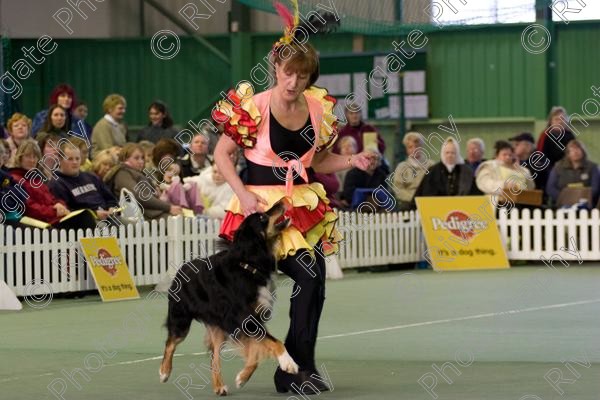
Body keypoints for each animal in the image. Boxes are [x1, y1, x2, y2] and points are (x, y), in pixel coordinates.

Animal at [158, 202, 296, 396]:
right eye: (262, 217)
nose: (282, 202)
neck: (248, 265)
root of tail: (181, 268)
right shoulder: (243, 317)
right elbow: (274, 342)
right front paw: (288, 363)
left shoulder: (252, 319)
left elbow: (255, 352)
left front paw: (242, 377)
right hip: (181, 319)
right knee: (170, 343)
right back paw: (164, 372)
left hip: (218, 328)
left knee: (214, 357)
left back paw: (219, 387)